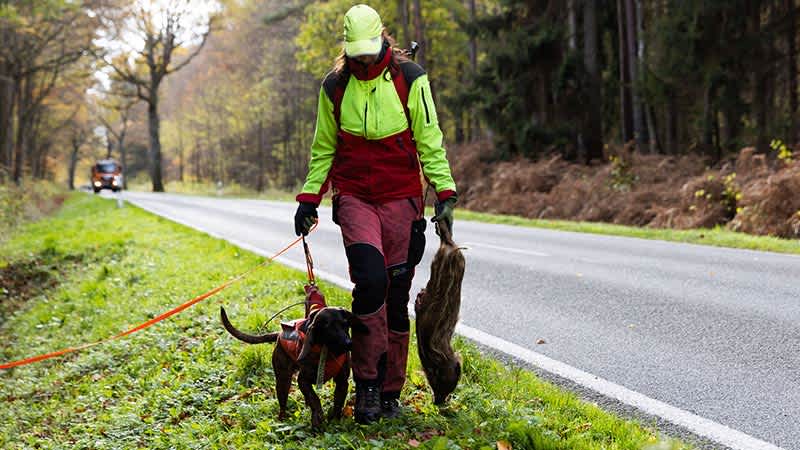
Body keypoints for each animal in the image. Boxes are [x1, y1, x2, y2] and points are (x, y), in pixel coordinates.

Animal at [220, 304, 368, 428]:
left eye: (345, 324)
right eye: (328, 327)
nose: (349, 344)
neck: (327, 352)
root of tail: (279, 334)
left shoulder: (342, 381)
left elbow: (338, 402)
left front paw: (335, 420)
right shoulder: (303, 380)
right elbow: (315, 399)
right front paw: (318, 417)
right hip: (283, 380)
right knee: (283, 405)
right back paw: (282, 421)